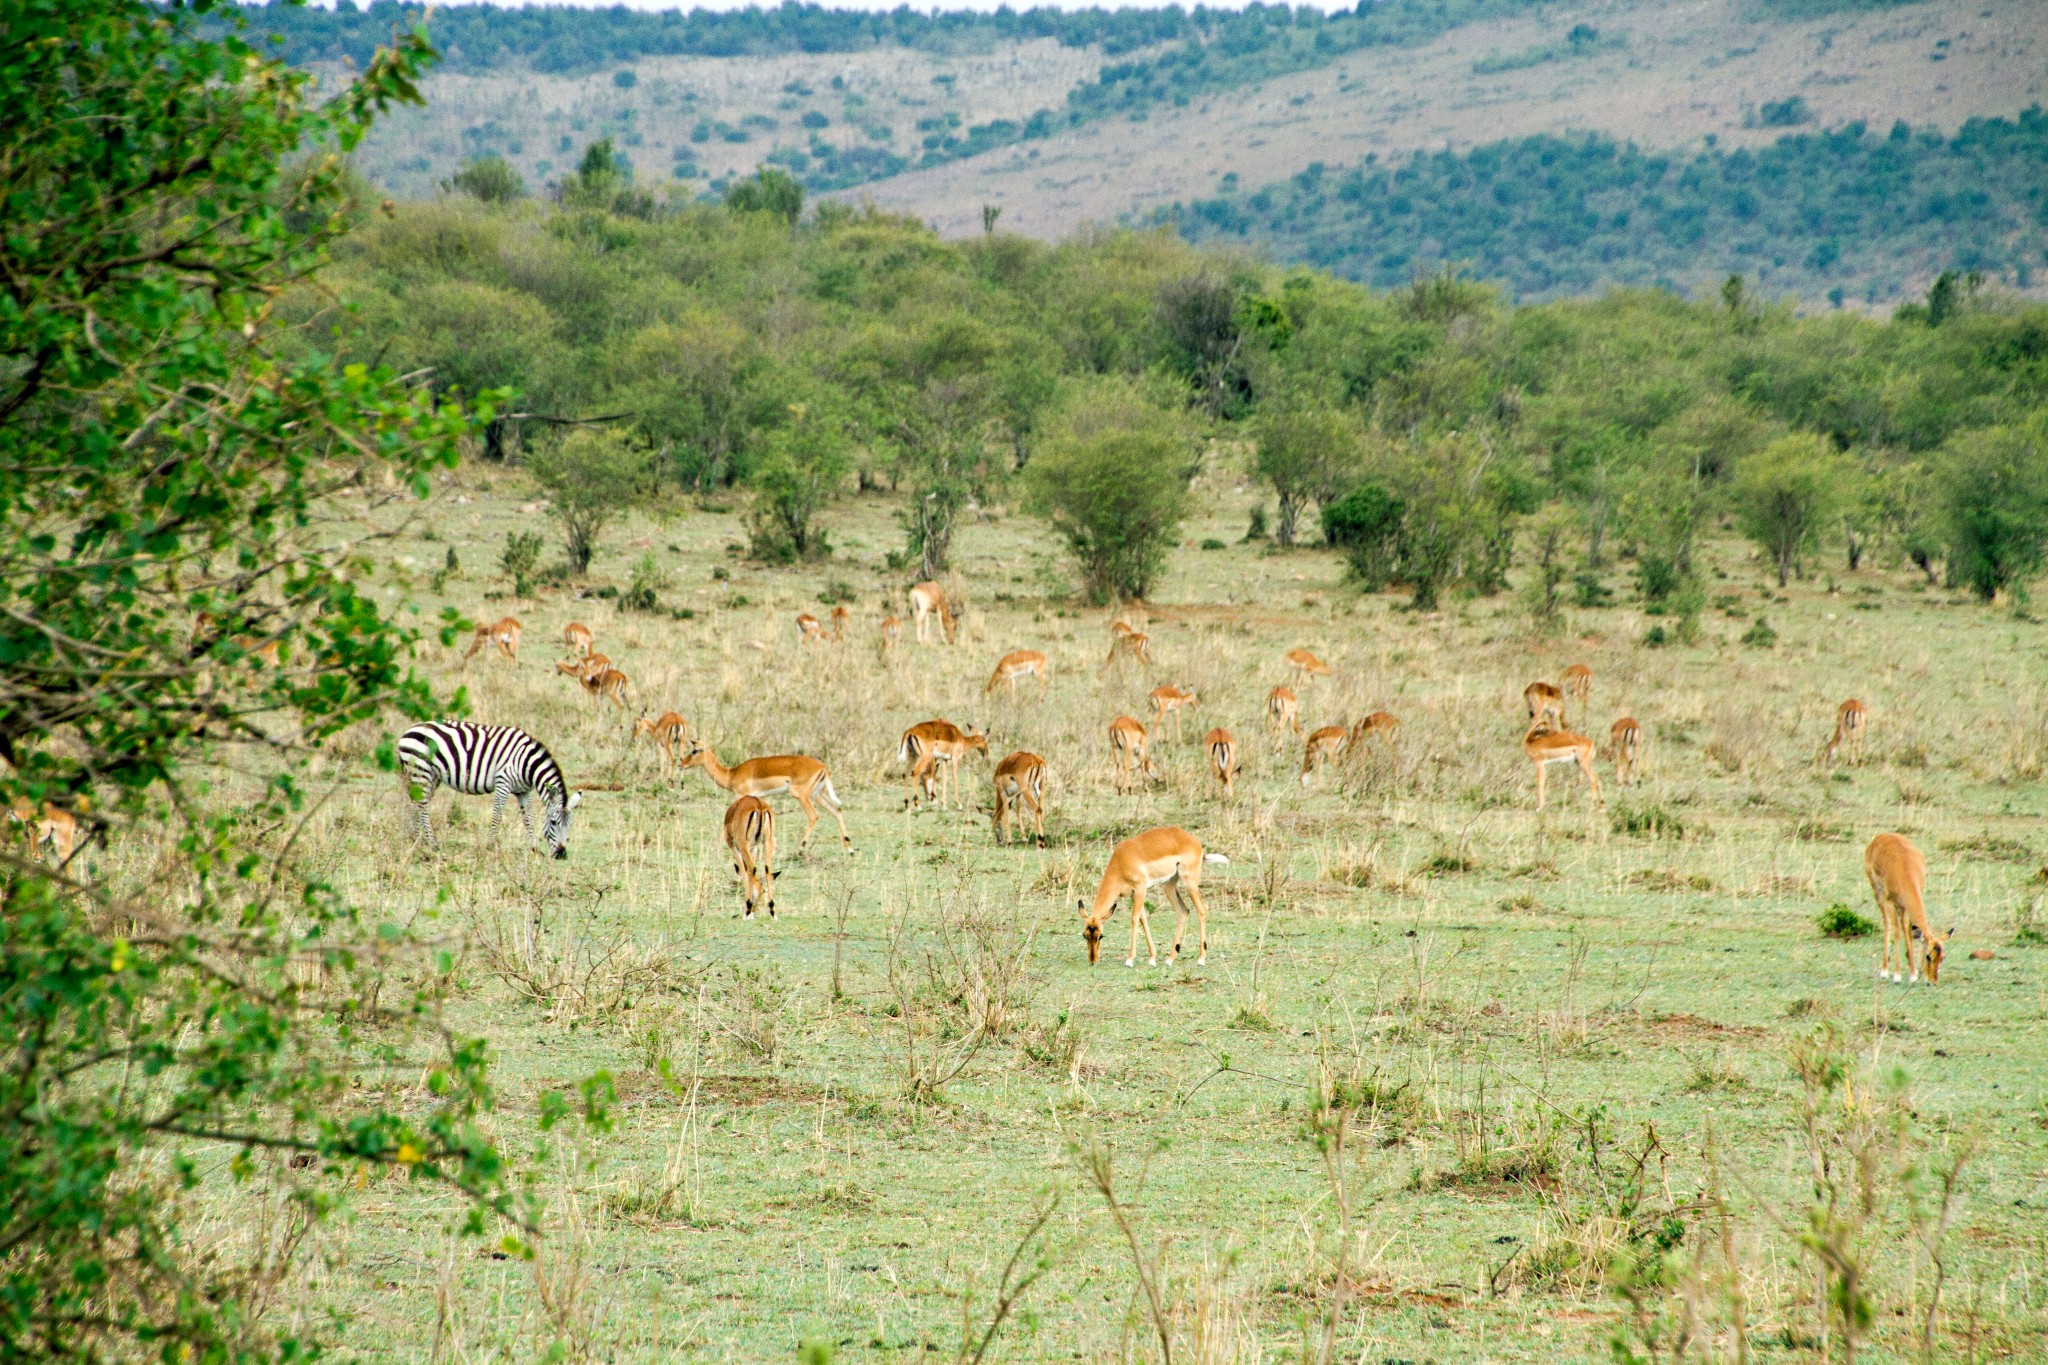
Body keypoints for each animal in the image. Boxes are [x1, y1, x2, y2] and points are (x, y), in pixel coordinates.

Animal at [395, 720, 581, 859]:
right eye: (554, 822)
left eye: (570, 825)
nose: (561, 854)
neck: (527, 764)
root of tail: (408, 731)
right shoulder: (503, 783)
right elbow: (497, 816)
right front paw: (491, 846)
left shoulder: (523, 791)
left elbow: (529, 818)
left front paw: (535, 848)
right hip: (421, 770)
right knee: (423, 806)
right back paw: (432, 843)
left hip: (430, 775)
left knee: (416, 803)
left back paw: (416, 839)